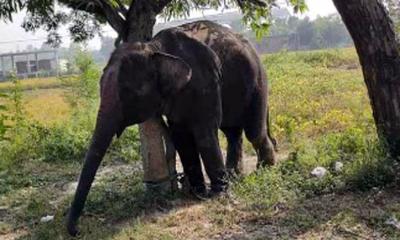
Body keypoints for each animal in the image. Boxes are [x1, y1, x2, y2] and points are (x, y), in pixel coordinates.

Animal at [66, 19, 276, 235]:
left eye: (128, 92)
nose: (77, 231)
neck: (154, 48)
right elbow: (180, 136)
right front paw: (197, 194)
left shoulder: (205, 80)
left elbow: (204, 133)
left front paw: (217, 195)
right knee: (232, 132)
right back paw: (235, 176)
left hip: (258, 80)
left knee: (254, 132)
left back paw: (264, 171)